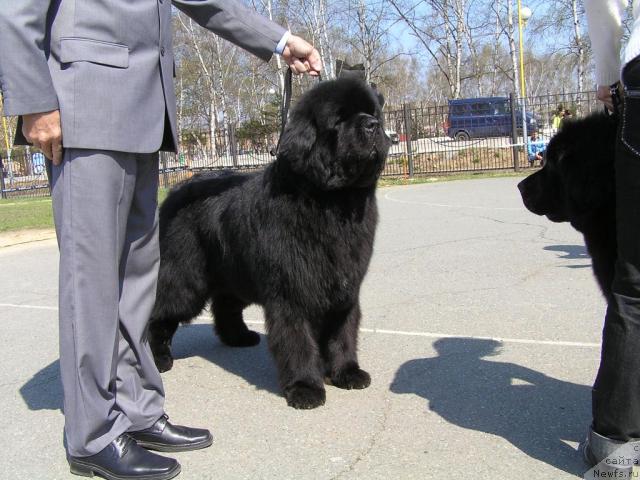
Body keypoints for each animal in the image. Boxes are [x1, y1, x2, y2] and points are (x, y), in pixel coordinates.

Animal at [149, 79, 390, 408]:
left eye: (372, 112)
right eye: (339, 120)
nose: (372, 125)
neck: (333, 202)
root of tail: (176, 190)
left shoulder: (344, 287)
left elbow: (343, 332)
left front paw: (347, 373)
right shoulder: (291, 290)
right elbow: (297, 340)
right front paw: (305, 388)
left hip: (234, 270)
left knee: (225, 305)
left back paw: (239, 337)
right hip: (186, 278)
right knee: (161, 311)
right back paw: (159, 358)